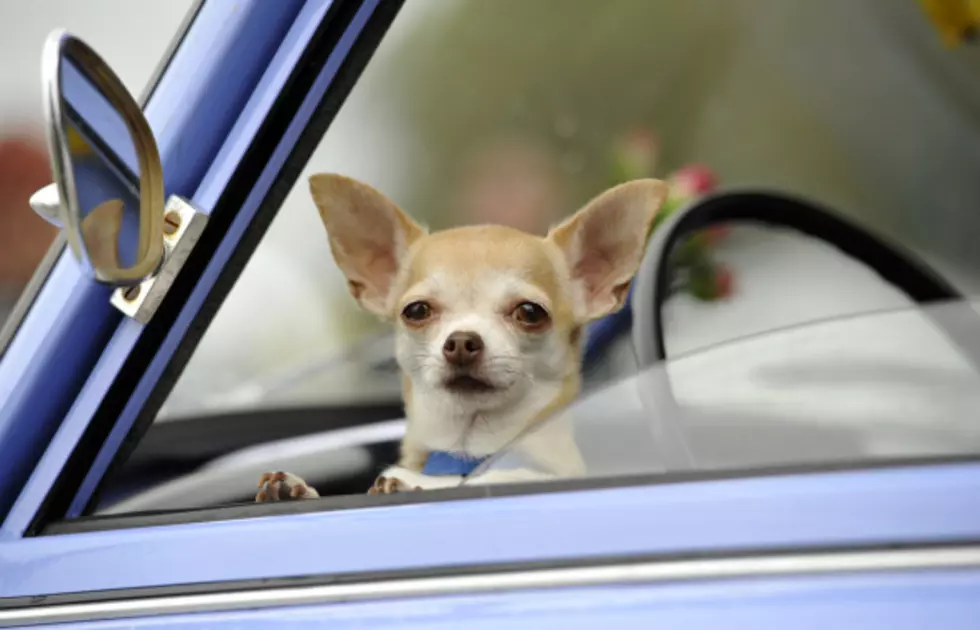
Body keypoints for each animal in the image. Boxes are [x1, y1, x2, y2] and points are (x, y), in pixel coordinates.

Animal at [255, 175, 668, 502]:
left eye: (530, 312)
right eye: (417, 310)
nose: (461, 342)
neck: (466, 449)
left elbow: (513, 474)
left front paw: (415, 483)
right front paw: (296, 489)